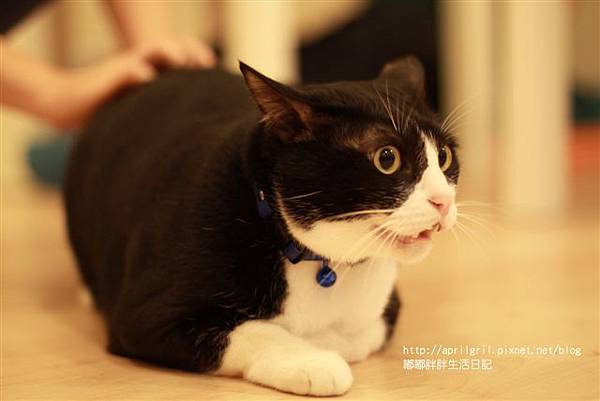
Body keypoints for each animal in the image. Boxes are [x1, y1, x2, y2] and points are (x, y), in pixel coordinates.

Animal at [64, 56, 459, 396]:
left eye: (444, 157)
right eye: (387, 159)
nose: (443, 201)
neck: (317, 262)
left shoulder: (385, 308)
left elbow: (362, 332)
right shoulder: (144, 315)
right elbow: (251, 330)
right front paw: (312, 359)